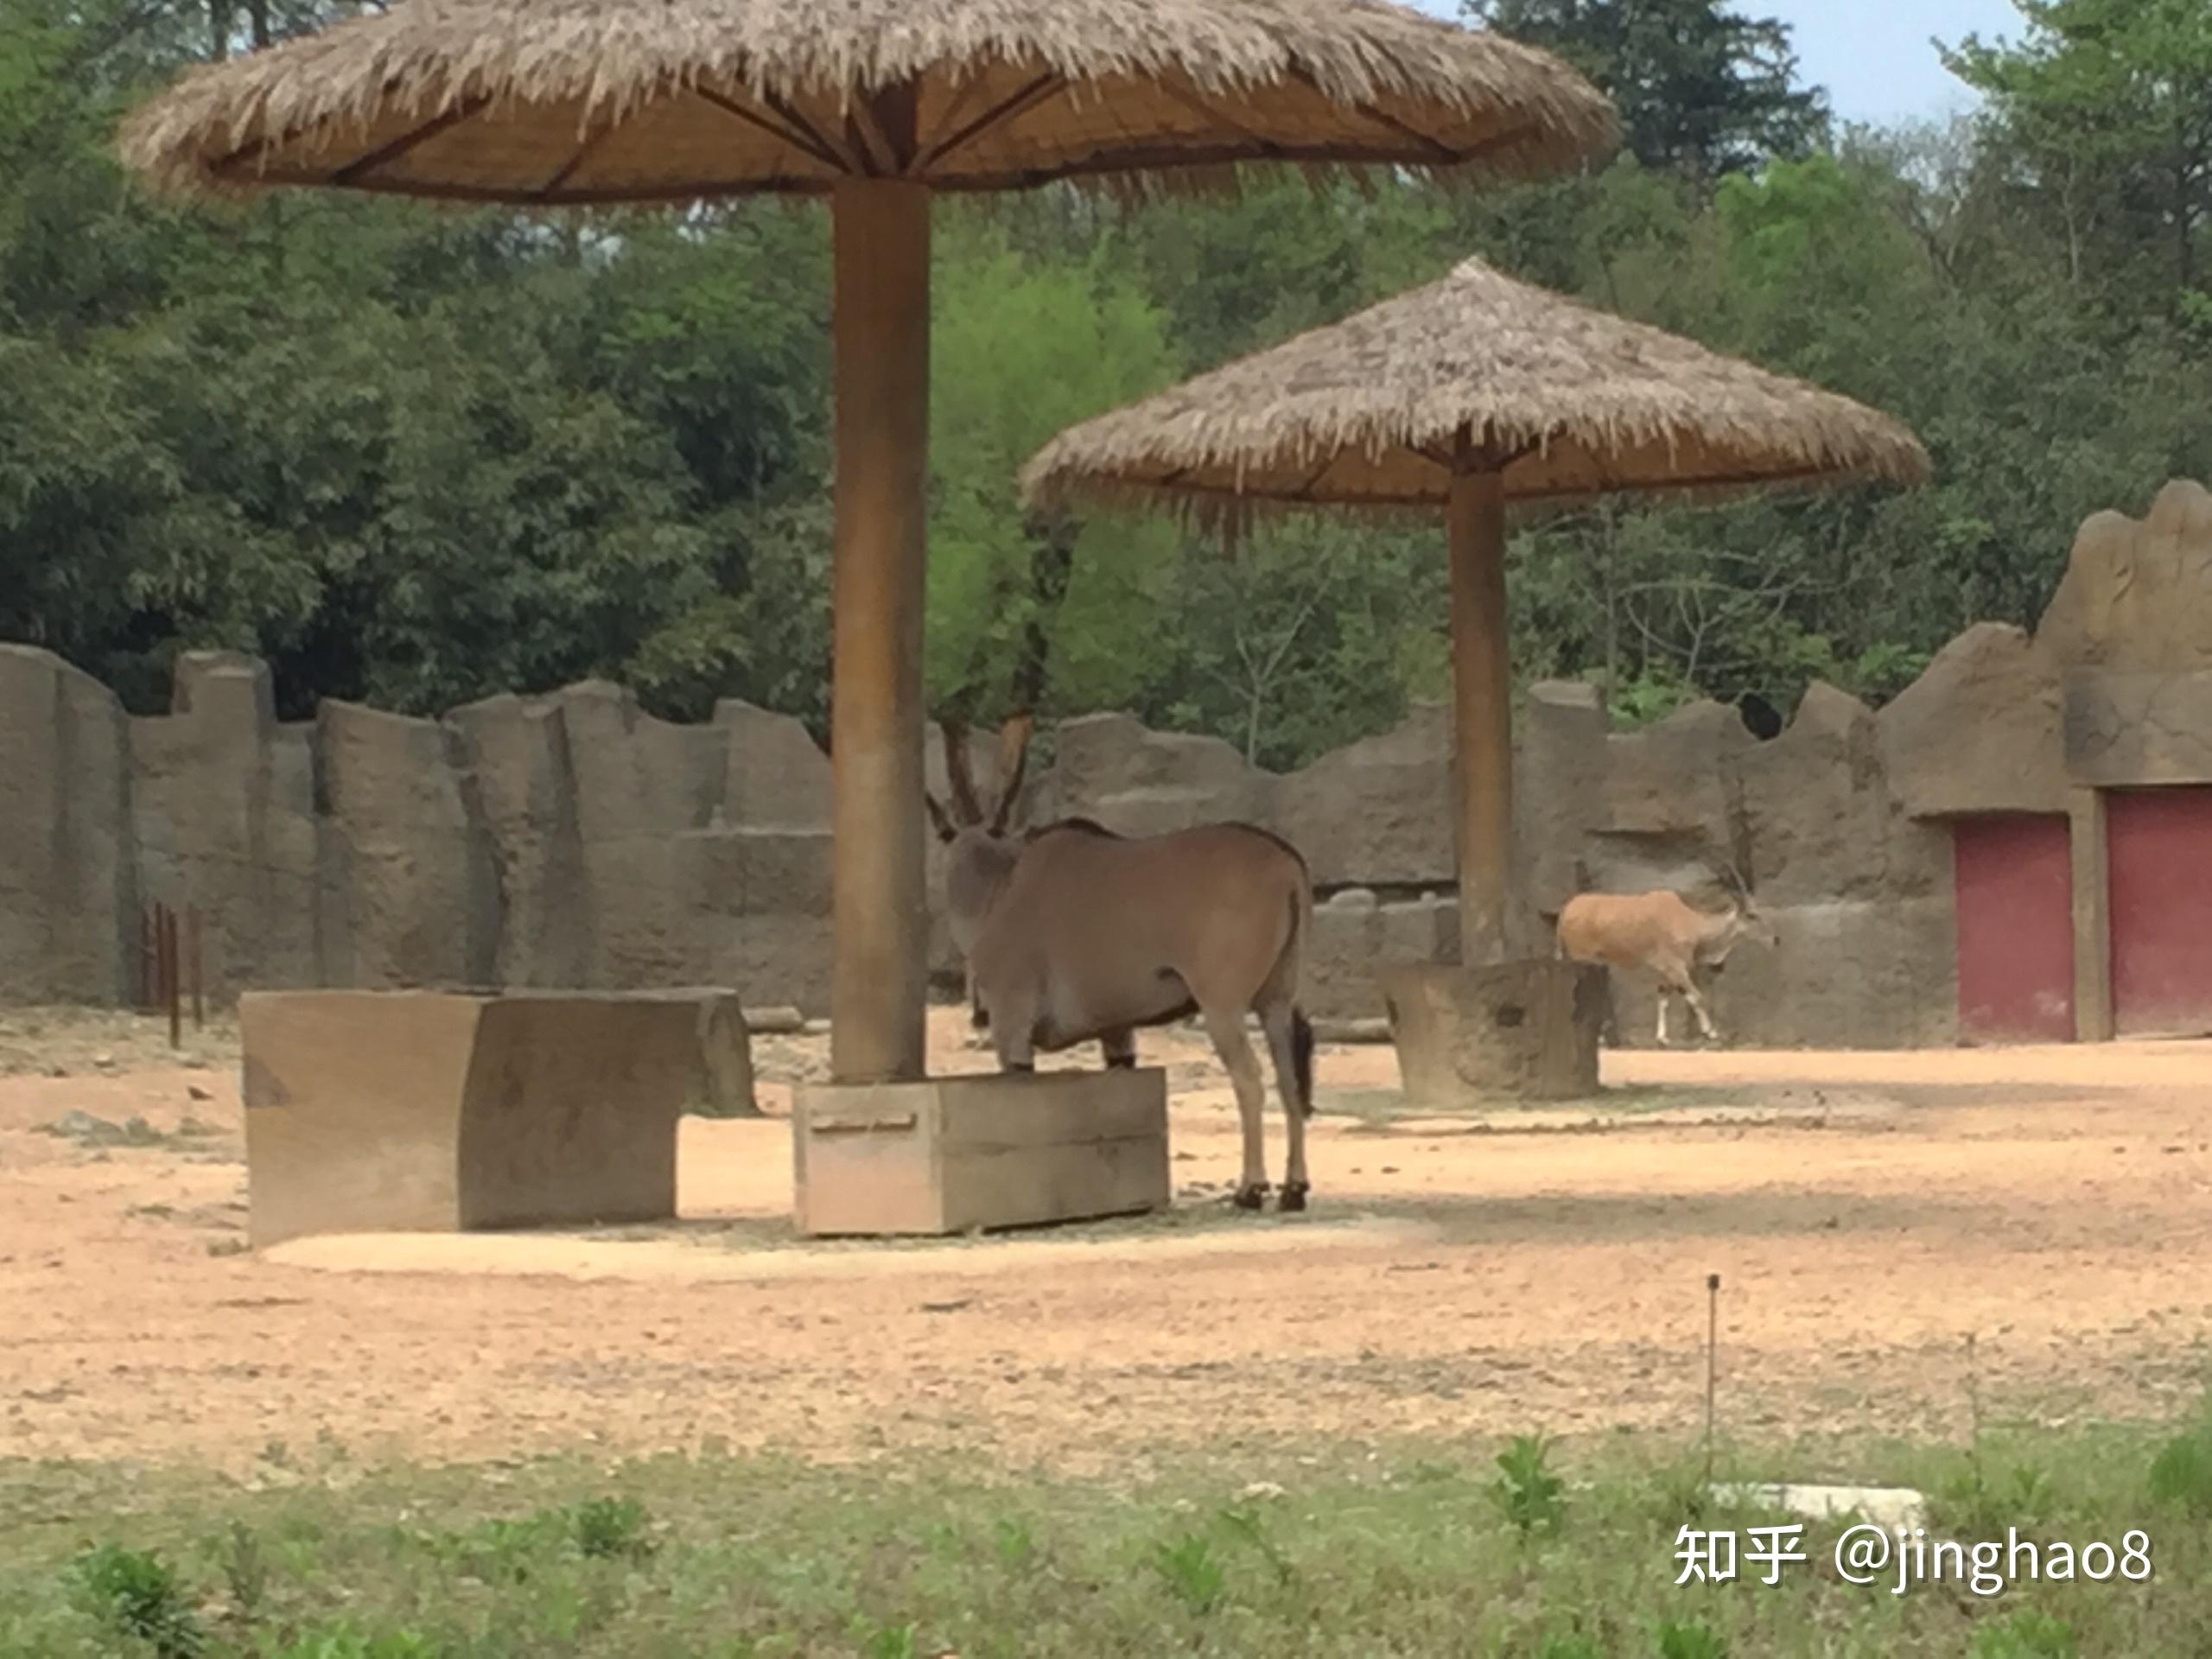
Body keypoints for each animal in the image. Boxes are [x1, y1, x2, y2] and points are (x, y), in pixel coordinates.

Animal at [929, 721, 1318, 1211]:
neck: (1000, 886)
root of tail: (1286, 863)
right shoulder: (1117, 1032)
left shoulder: (1011, 1025)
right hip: (1276, 1004)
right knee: (1290, 1083)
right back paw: (1294, 1188)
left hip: (1222, 1009)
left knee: (1250, 1081)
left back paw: (1251, 1188)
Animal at [1557, 862, 1778, 1044]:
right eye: (1752, 915)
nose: (1775, 940)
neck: (1690, 922)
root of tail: (1566, 911)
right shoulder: (1675, 967)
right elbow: (1697, 996)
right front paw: (1711, 1032)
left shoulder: (1664, 972)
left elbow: (1664, 999)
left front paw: (1662, 1038)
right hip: (1583, 960)